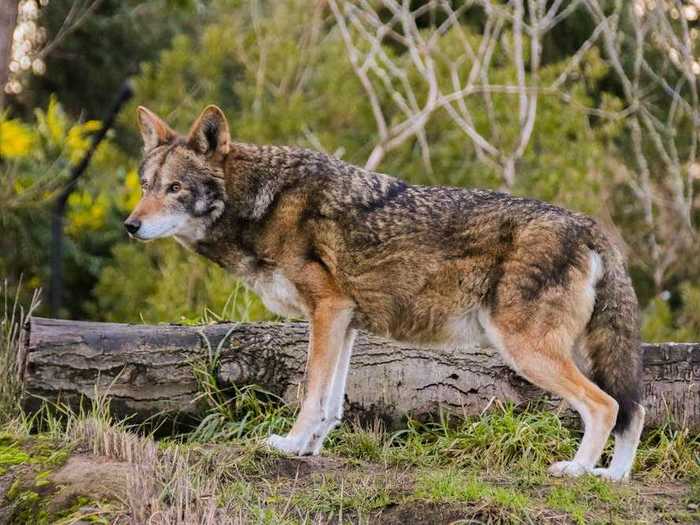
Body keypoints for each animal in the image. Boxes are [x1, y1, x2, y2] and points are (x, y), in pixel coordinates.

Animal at [126, 104, 644, 482]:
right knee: (632, 409)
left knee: (606, 406)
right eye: (146, 185)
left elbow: (310, 393)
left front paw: (290, 445)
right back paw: (611, 477)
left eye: (175, 188)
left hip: (527, 352)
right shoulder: (344, 322)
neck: (264, 204)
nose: (130, 225)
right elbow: (330, 403)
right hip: (573, 352)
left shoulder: (326, 312)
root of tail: (589, 226)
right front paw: (310, 449)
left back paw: (577, 471)